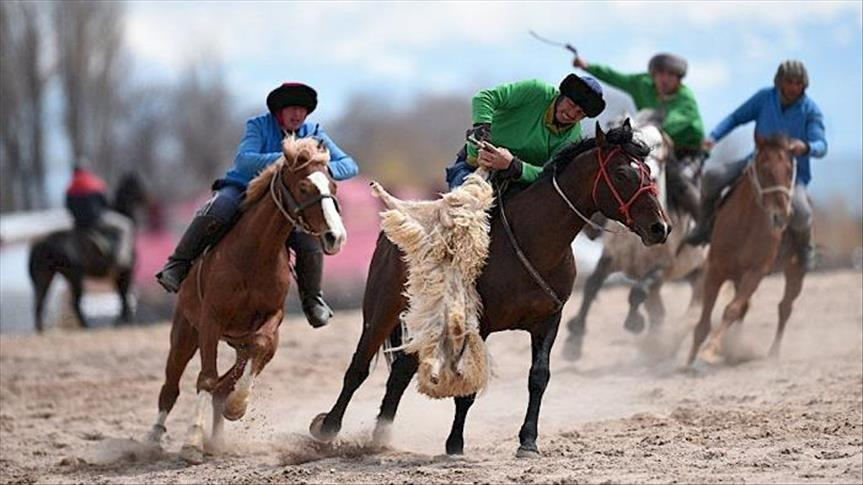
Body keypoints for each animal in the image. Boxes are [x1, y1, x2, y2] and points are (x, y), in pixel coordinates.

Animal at [27, 171, 150, 332]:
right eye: (135, 184)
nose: (148, 198)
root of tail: (41, 243)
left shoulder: (119, 276)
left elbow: (122, 297)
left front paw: (121, 321)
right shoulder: (126, 273)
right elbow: (124, 297)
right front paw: (125, 321)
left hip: (45, 277)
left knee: (39, 302)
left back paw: (41, 329)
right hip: (75, 277)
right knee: (74, 303)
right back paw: (85, 326)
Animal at [148, 135, 348, 462]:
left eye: (333, 187)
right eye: (304, 188)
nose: (336, 236)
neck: (254, 254)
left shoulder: (272, 319)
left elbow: (257, 346)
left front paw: (236, 407)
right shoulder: (211, 321)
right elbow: (206, 377)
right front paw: (192, 441)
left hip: (245, 343)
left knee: (227, 380)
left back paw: (217, 437)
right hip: (184, 333)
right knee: (171, 386)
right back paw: (154, 437)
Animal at [308, 119, 672, 456]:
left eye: (647, 171)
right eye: (622, 173)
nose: (661, 227)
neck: (533, 240)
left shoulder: (549, 321)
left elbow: (539, 376)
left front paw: (528, 441)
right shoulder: (476, 324)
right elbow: (467, 388)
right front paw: (455, 444)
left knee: (400, 371)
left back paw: (380, 436)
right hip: (382, 307)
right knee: (358, 365)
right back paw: (327, 428)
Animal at [684, 134, 808, 364]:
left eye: (789, 170)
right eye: (765, 169)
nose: (782, 216)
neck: (744, 224)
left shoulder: (755, 272)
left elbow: (731, 310)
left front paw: (709, 351)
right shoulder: (715, 270)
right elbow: (704, 318)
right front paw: (690, 358)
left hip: (794, 273)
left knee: (784, 308)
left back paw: (772, 353)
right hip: (736, 276)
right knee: (747, 308)